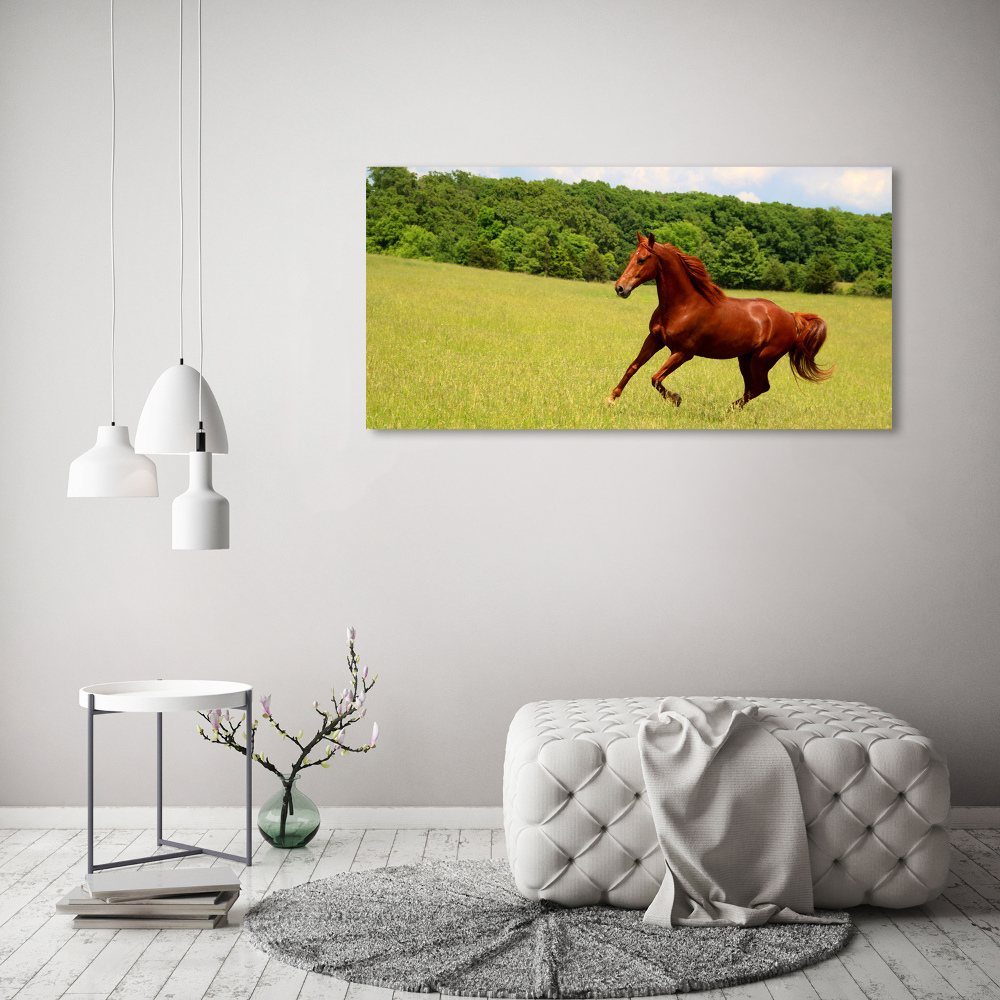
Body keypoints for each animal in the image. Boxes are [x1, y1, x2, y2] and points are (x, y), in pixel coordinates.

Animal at [604, 232, 832, 408]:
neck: (683, 306)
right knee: (753, 388)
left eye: (642, 259)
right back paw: (731, 409)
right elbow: (633, 367)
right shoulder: (654, 339)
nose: (620, 288)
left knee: (760, 387)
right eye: (631, 256)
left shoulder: (683, 352)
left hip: (762, 360)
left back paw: (729, 409)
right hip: (745, 359)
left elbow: (655, 378)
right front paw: (611, 398)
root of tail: (790, 316)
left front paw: (676, 398)